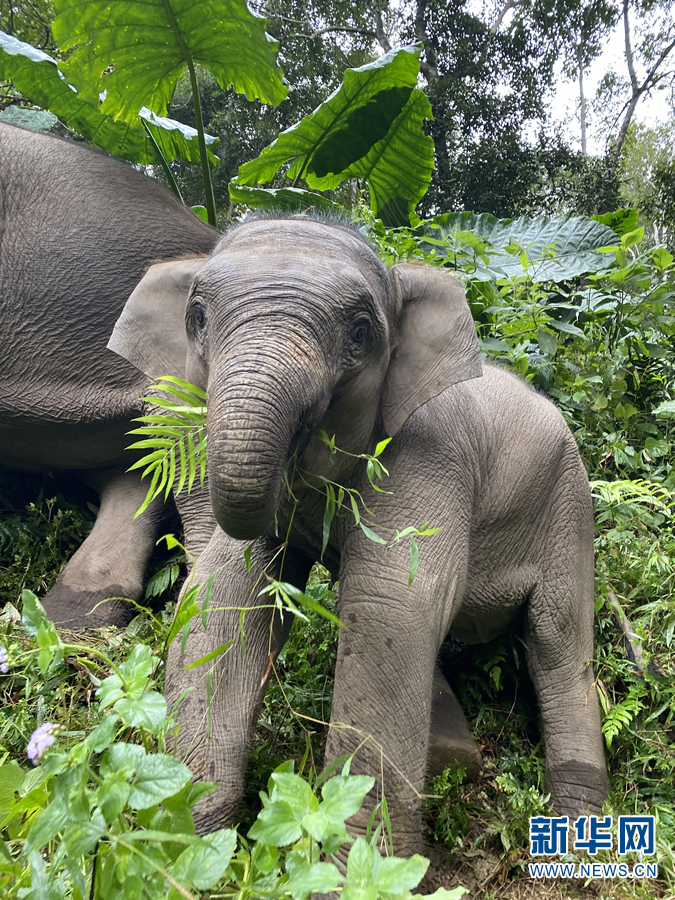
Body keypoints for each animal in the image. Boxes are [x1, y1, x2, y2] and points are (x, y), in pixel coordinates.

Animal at [109, 216, 608, 852]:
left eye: (360, 333)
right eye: (196, 316)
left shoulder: (429, 453)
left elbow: (390, 607)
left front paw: (356, 861)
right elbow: (227, 598)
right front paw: (194, 844)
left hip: (569, 504)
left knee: (559, 642)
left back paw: (579, 826)